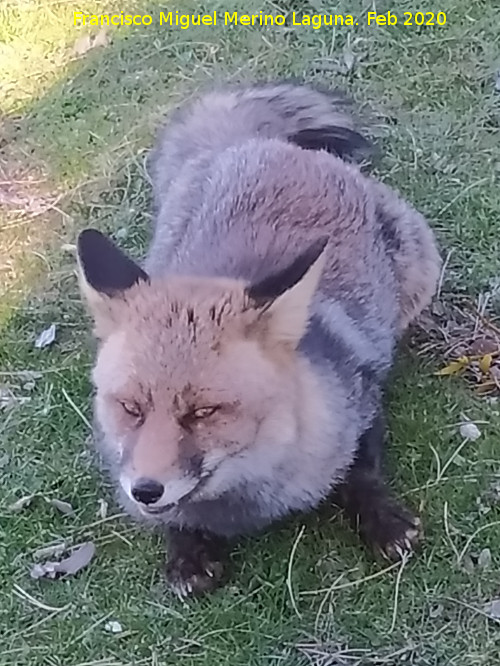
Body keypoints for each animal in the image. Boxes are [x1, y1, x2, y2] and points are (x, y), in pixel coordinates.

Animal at [76, 80, 441, 597]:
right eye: (130, 408)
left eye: (204, 412)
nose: (145, 490)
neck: (246, 504)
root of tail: (255, 145)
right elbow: (174, 521)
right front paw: (185, 548)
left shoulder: (362, 389)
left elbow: (361, 471)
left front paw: (382, 519)